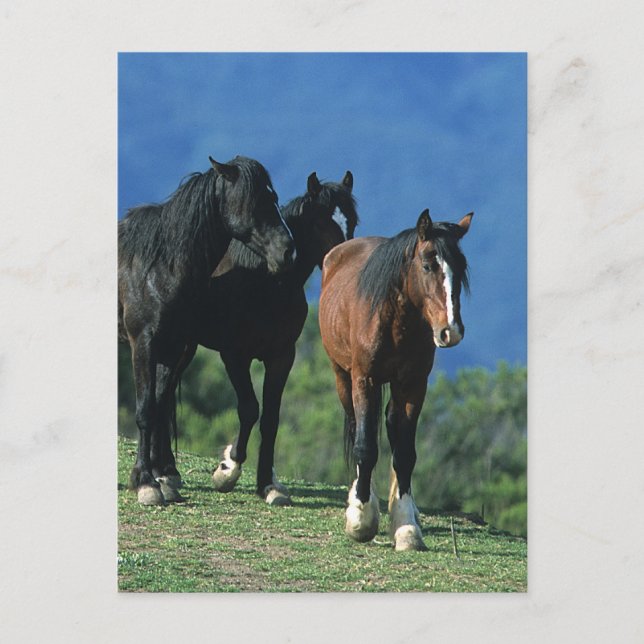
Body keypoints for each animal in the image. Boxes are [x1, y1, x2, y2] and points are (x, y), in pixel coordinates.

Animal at [118, 155, 295, 505]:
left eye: (274, 197)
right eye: (257, 200)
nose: (286, 251)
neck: (158, 266)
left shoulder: (172, 347)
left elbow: (159, 406)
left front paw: (159, 478)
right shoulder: (143, 344)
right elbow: (145, 410)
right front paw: (145, 482)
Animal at [150, 171, 358, 505]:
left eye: (351, 222)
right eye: (319, 222)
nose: (344, 260)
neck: (265, 282)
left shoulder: (282, 356)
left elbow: (271, 418)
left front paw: (268, 485)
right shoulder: (235, 355)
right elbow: (249, 409)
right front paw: (227, 470)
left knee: (165, 393)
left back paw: (168, 469)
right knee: (160, 393)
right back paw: (162, 471)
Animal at [318, 208, 472, 550]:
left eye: (461, 268)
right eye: (428, 265)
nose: (450, 331)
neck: (395, 322)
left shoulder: (414, 385)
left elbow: (404, 454)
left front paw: (406, 527)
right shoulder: (364, 380)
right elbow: (365, 446)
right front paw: (361, 518)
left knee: (390, 427)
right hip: (342, 378)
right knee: (356, 426)